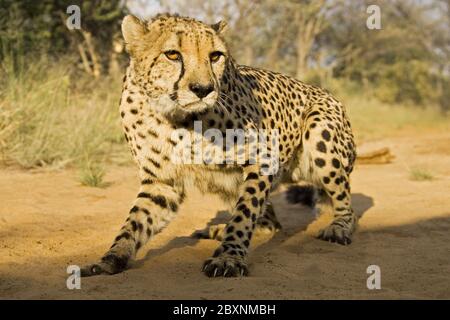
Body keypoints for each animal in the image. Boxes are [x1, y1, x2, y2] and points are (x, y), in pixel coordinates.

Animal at [80, 13, 356, 278]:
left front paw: (229, 257)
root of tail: (325, 91)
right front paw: (110, 258)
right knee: (270, 224)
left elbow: (245, 212)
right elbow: (135, 222)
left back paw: (339, 228)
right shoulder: (162, 181)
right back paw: (218, 230)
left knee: (345, 205)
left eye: (215, 56)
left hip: (320, 132)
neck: (173, 116)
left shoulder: (265, 158)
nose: (203, 89)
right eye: (172, 54)